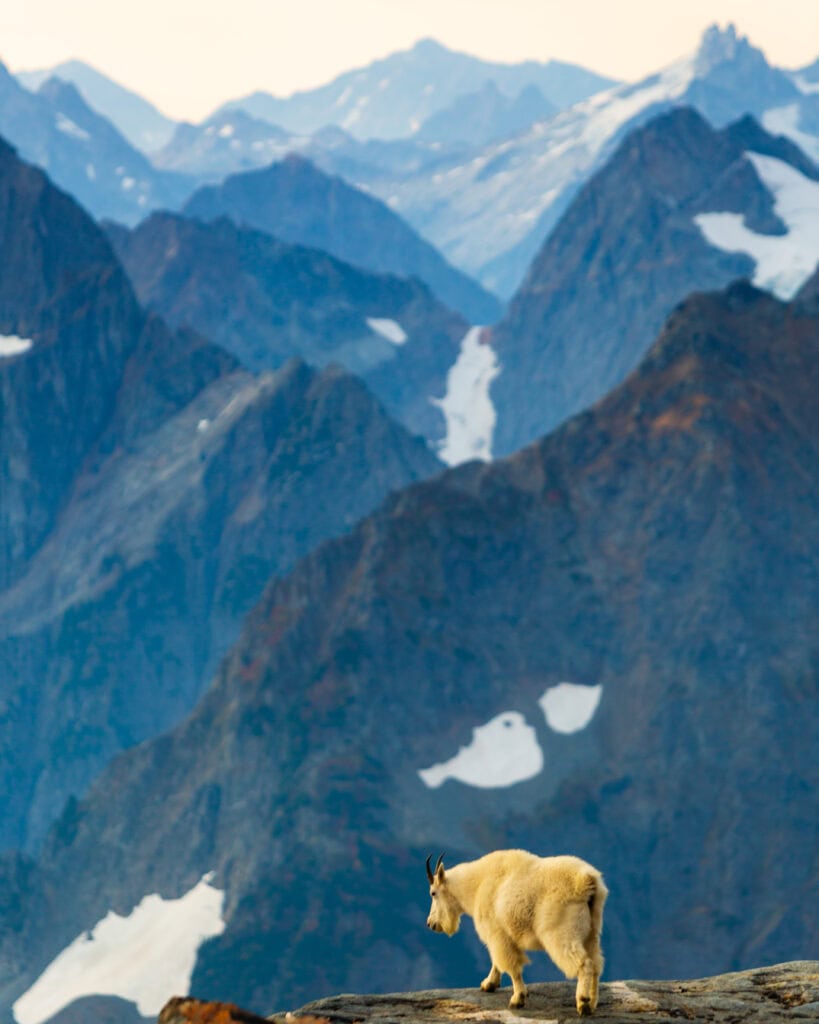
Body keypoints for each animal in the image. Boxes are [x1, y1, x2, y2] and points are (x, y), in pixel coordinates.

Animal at [425, 849, 607, 1016]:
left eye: (433, 893)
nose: (431, 924)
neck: (476, 885)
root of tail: (586, 881)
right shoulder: (500, 936)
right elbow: (497, 961)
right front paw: (489, 984)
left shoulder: (497, 933)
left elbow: (510, 965)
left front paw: (517, 999)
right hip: (592, 932)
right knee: (596, 963)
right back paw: (592, 1003)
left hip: (561, 932)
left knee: (584, 963)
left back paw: (583, 1003)